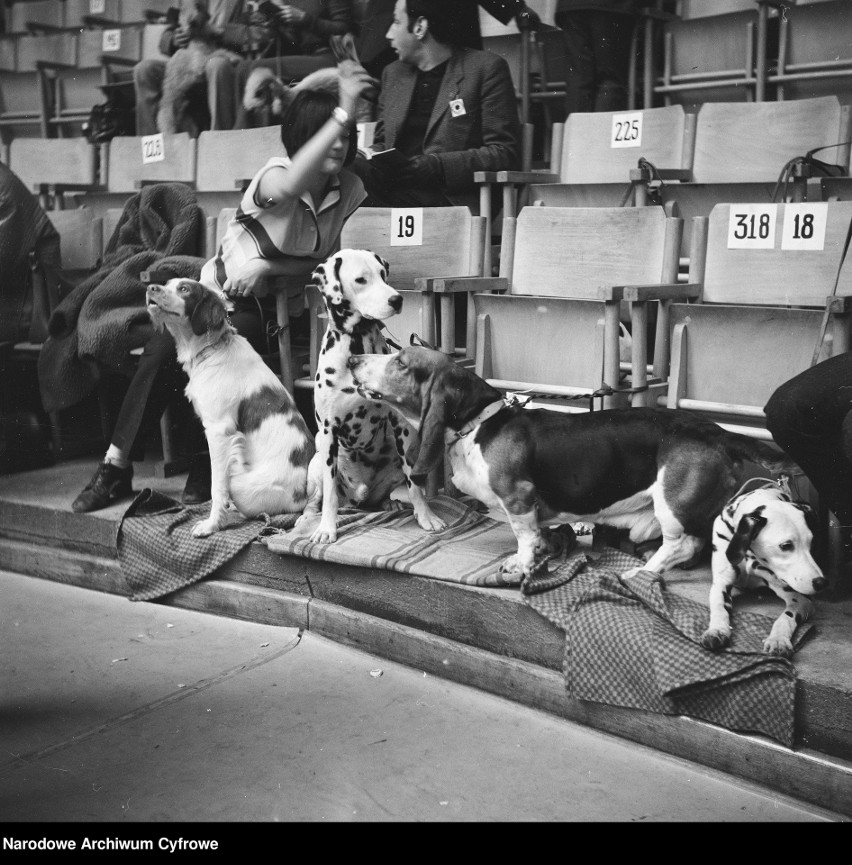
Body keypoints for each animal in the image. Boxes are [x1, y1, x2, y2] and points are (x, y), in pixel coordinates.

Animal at [145, 278, 314, 532]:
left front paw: (212, 525)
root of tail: (304, 493)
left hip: (242, 484)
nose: (150, 288)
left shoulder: (218, 430)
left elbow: (217, 486)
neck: (213, 349)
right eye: (167, 283)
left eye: (184, 289)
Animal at [294, 248, 446, 540]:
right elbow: (330, 495)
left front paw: (426, 516)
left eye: (383, 275)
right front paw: (327, 528)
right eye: (361, 279)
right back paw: (309, 518)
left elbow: (415, 486)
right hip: (317, 462)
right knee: (316, 500)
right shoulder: (329, 431)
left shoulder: (400, 427)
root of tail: (358, 499)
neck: (357, 345)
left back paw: (389, 503)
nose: (396, 299)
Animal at [346, 344, 800, 580]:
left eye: (401, 362)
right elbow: (538, 535)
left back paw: (640, 574)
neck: (479, 422)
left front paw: (523, 565)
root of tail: (719, 432)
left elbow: (524, 536)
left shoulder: (518, 498)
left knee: (682, 543)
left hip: (672, 503)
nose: (351, 360)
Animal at [700, 482, 824, 660]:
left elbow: (785, 617)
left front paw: (778, 640)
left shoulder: (801, 598)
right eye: (786, 545)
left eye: (811, 543)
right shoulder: (721, 584)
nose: (821, 583)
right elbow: (719, 607)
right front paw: (716, 630)